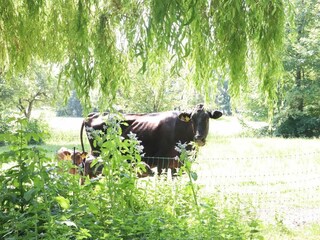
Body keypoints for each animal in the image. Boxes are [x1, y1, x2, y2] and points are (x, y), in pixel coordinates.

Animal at [80, 104, 221, 176]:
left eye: (207, 118)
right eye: (192, 119)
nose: (199, 138)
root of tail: (94, 114)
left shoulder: (177, 164)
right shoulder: (162, 162)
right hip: (98, 155)